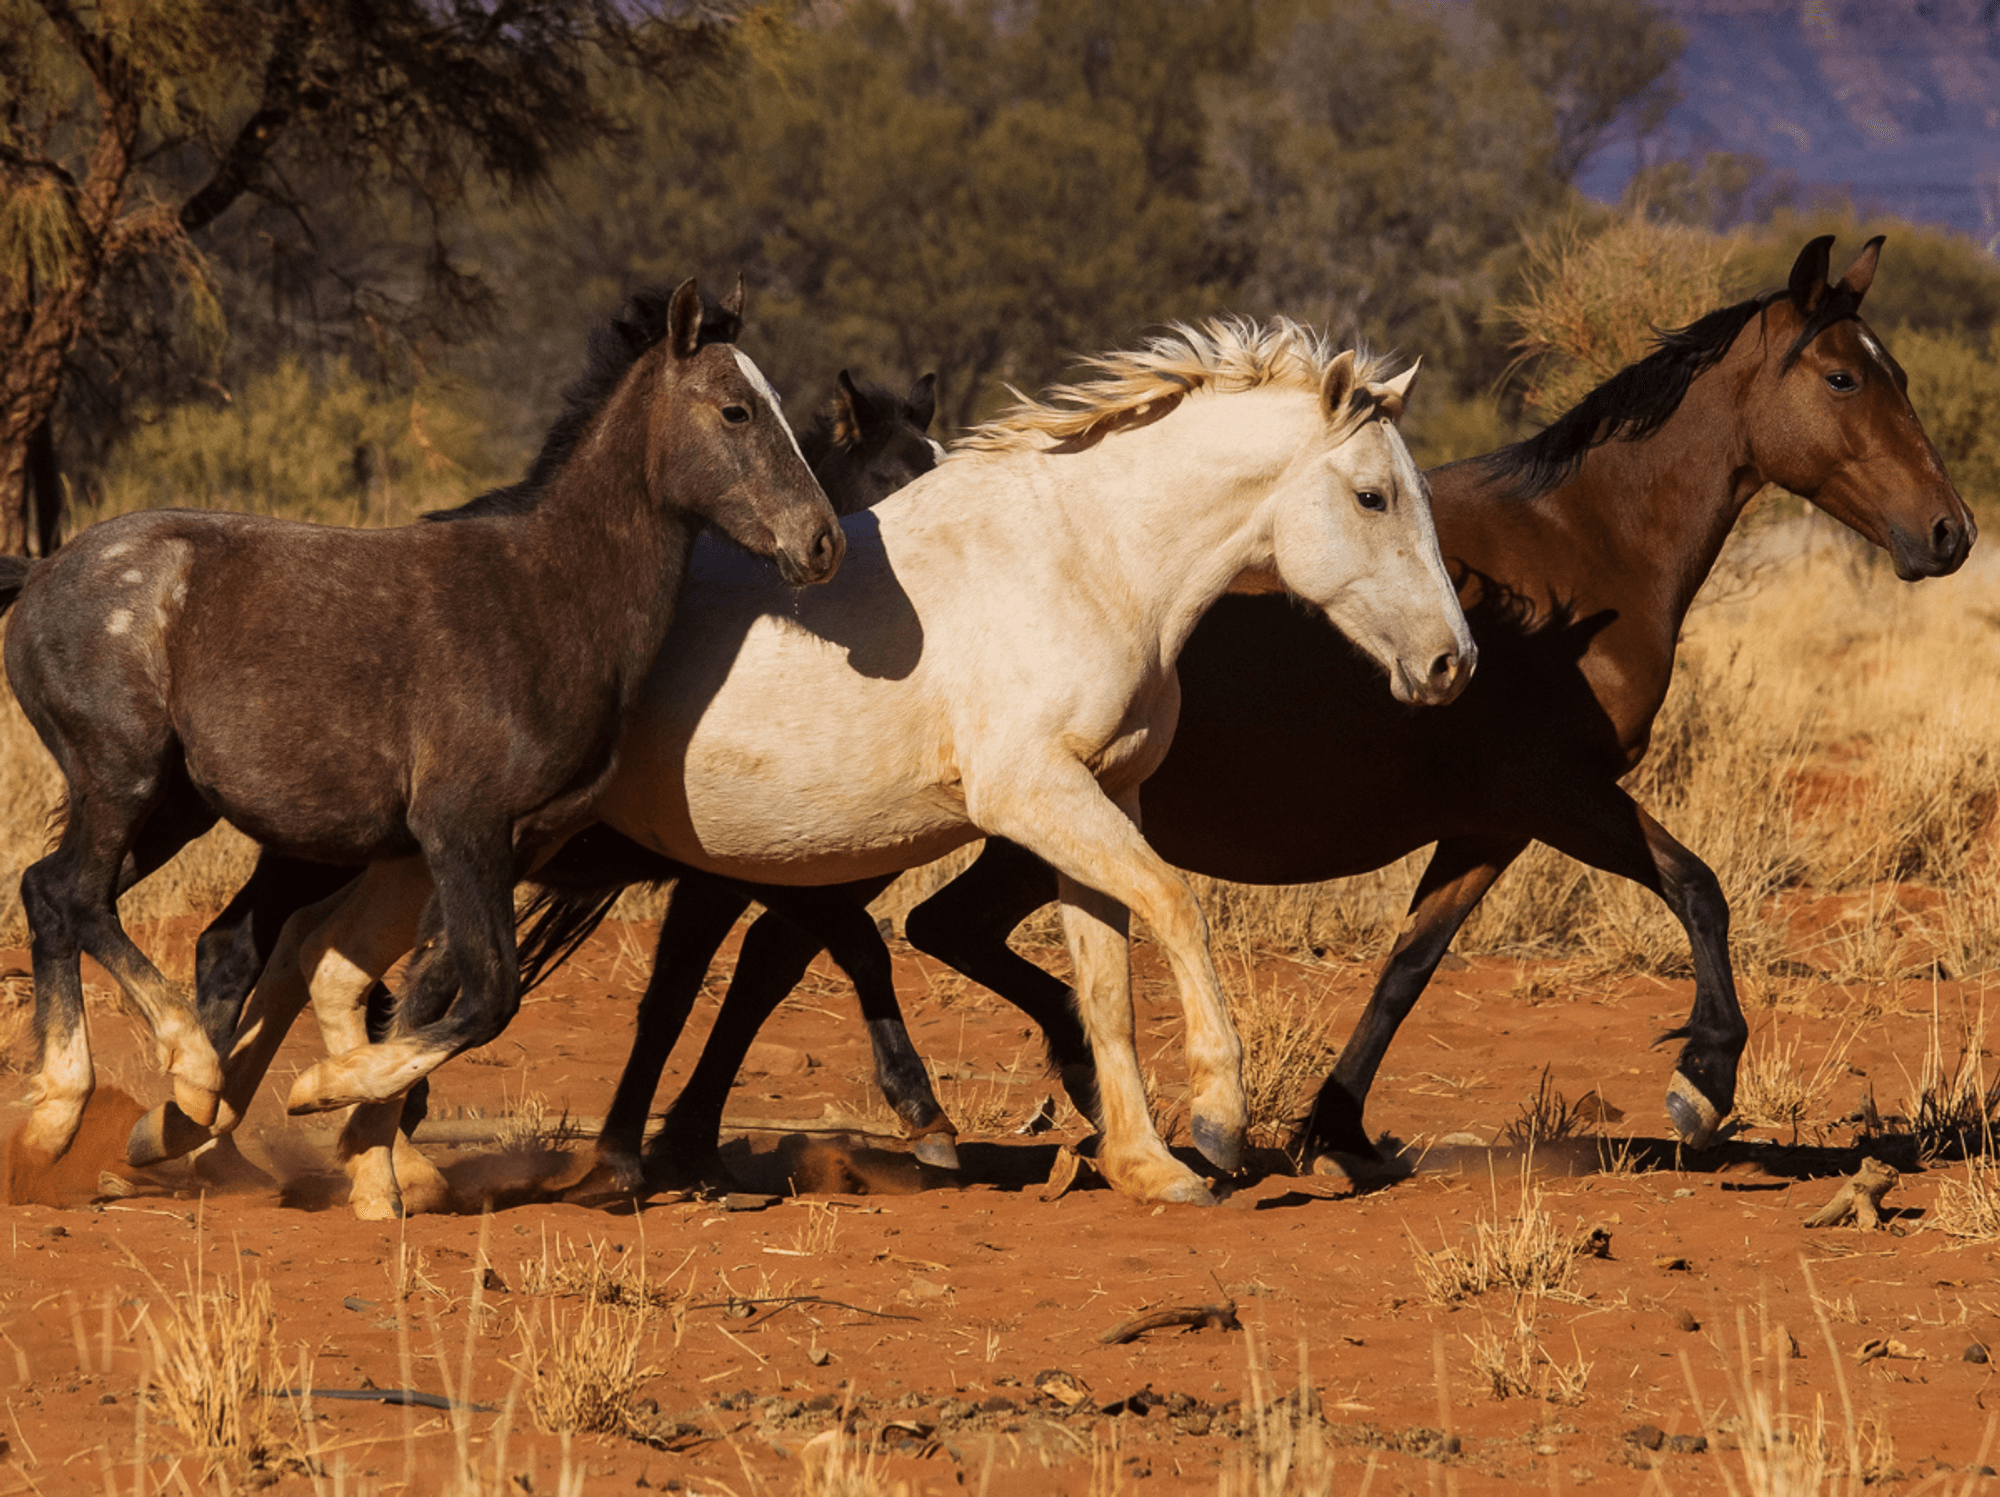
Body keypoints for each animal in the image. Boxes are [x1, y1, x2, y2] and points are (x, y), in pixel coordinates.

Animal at [0, 277, 843, 1169]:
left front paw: (376, 1143)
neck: (547, 596)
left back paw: (79, 1116)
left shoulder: (520, 842)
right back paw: (183, 1075)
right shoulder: (459, 826)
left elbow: (431, 987)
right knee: (78, 895)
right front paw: (327, 1091)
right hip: (121, 778)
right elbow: (491, 993)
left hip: (174, 807)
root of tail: (43, 570)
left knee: (49, 892)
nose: (823, 542)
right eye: (735, 411)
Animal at [159, 318, 1477, 1211]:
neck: (1086, 561)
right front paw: (1211, 1122)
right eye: (1371, 495)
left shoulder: (1097, 798)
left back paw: (339, 1146)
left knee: (329, 966)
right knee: (288, 958)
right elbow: (1170, 909)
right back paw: (224, 1128)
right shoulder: (1033, 798)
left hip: (431, 852)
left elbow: (1101, 974)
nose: (1450, 663)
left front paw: (1146, 1161)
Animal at [531, 234, 1976, 1190]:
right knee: (783, 946)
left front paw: (1327, 1128)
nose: (1947, 534)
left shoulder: (1486, 823)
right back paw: (729, 1136)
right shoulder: (1558, 794)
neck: (1583, 551)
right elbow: (1699, 887)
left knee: (825, 942)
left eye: (1893, 373)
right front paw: (1701, 1083)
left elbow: (1406, 965)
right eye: (1845, 380)